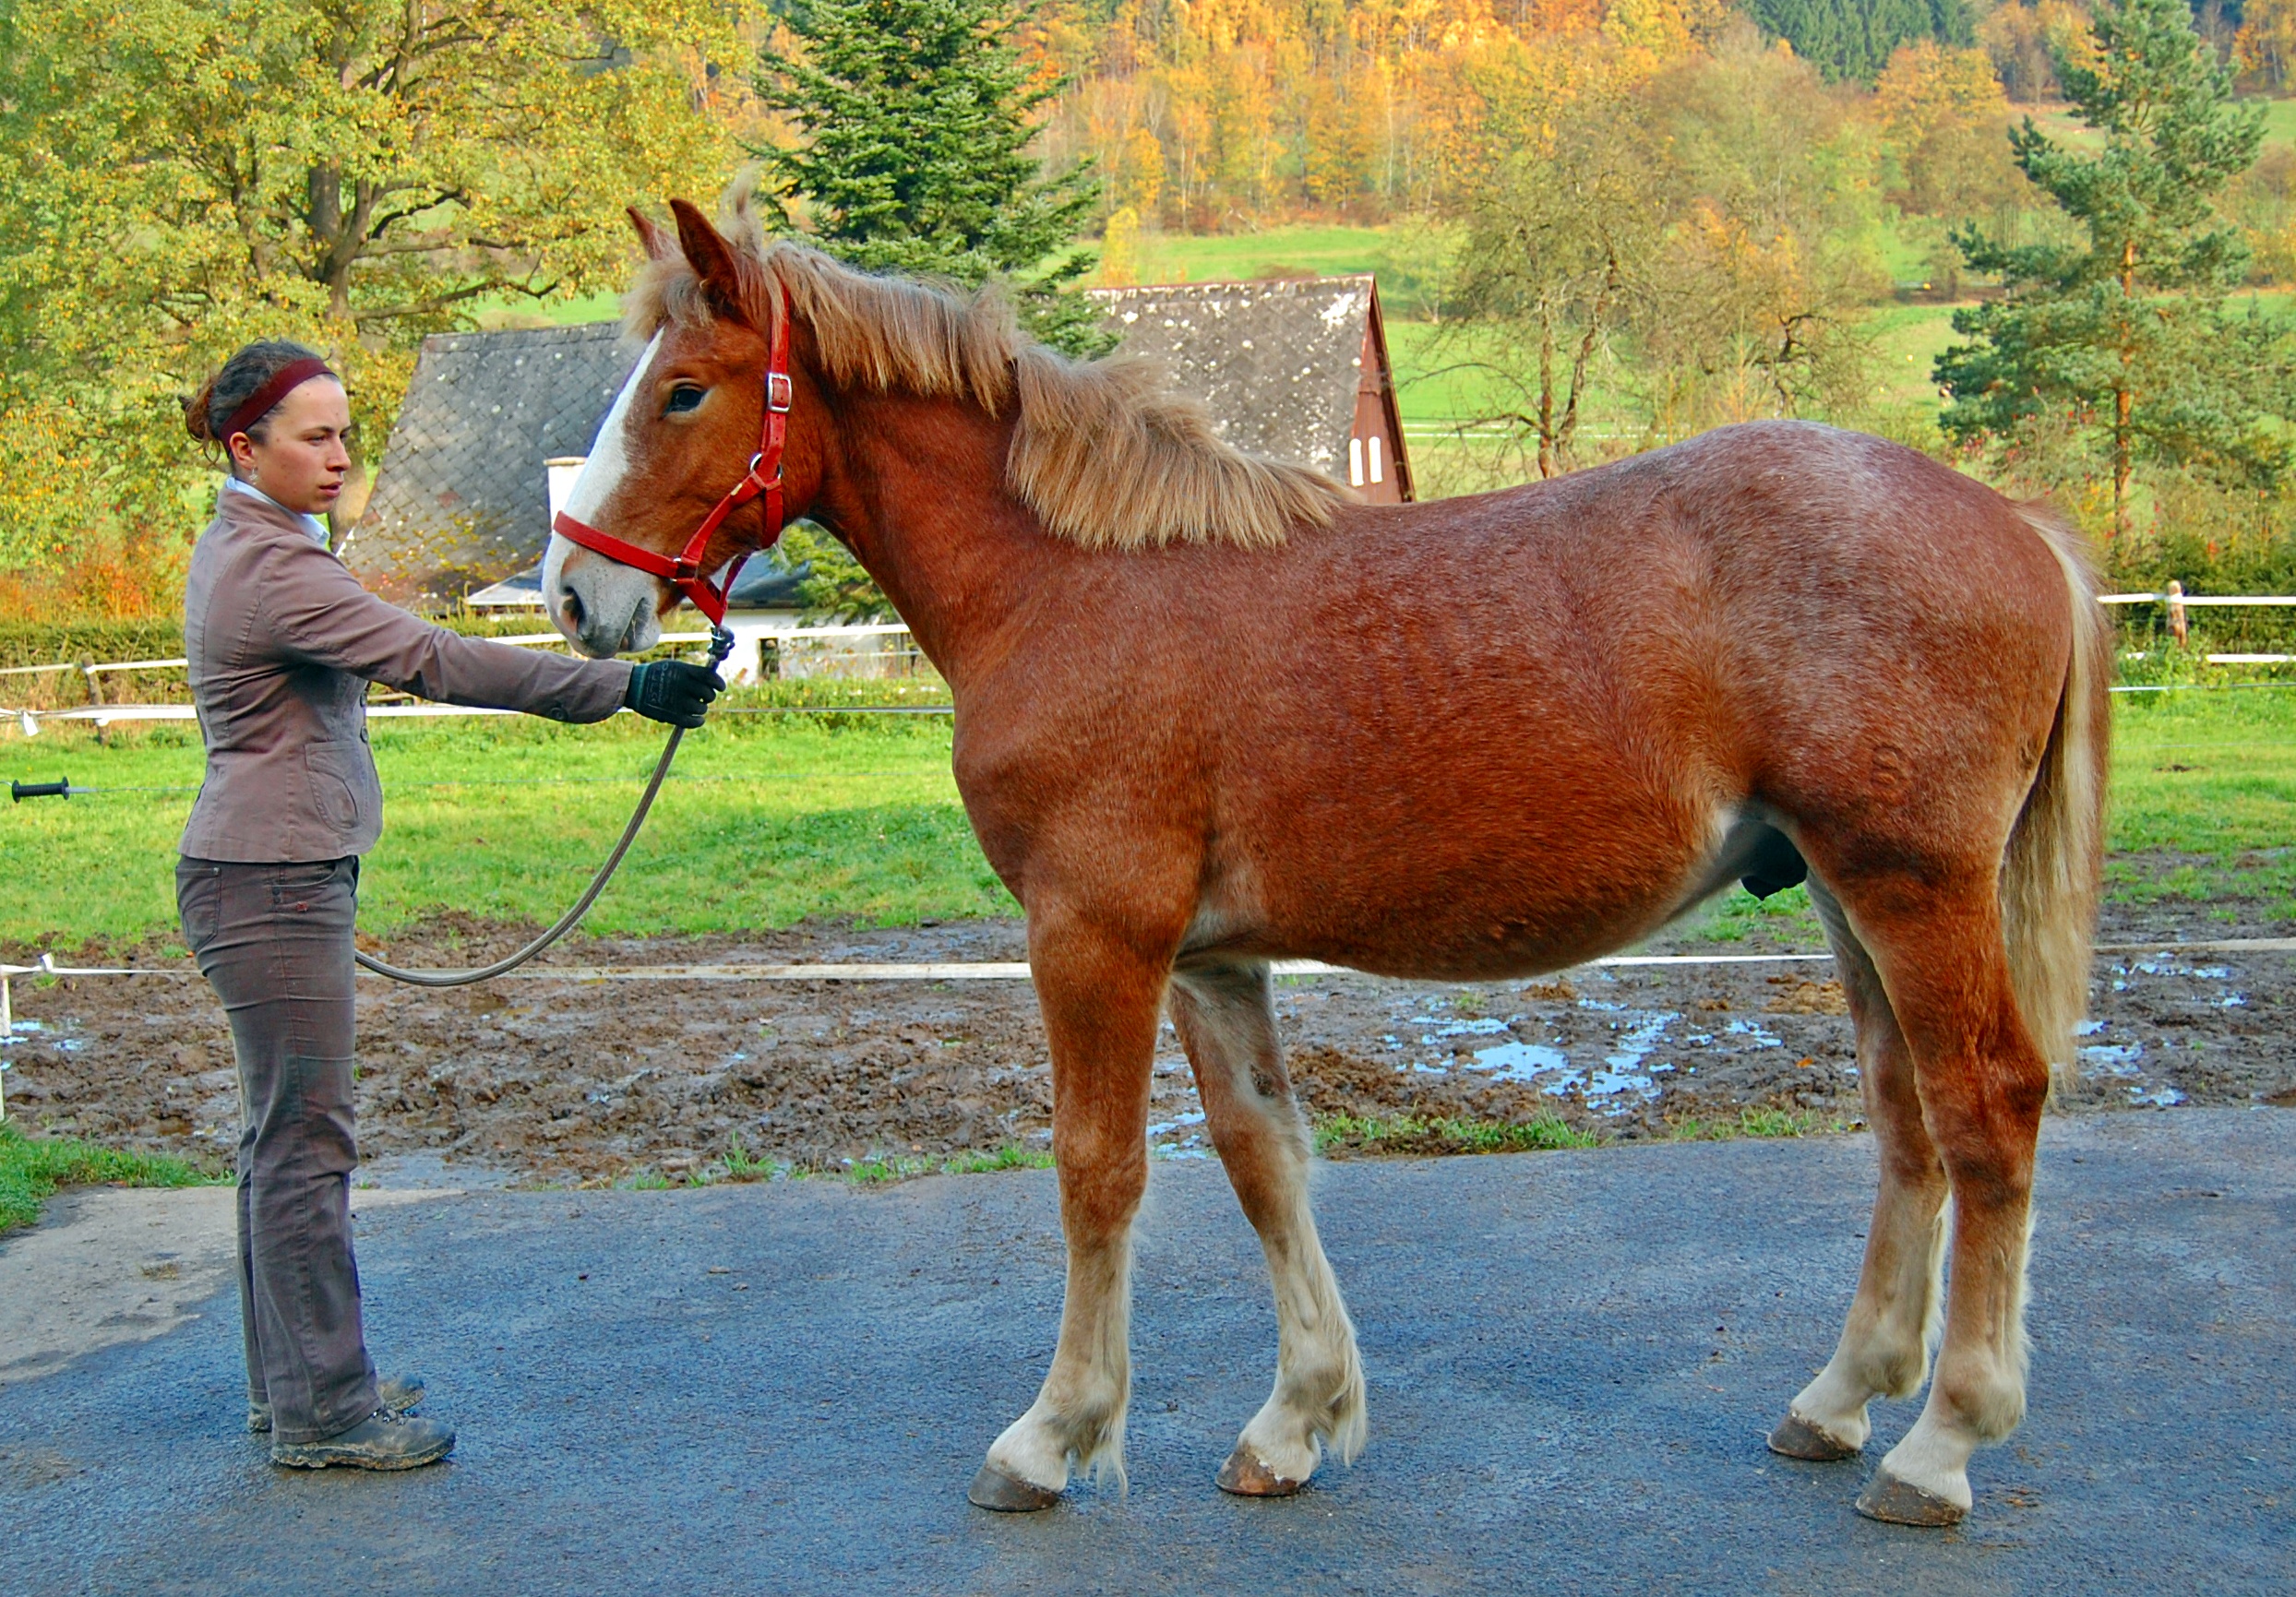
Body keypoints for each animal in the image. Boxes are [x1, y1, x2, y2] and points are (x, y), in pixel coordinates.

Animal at [537, 194, 2103, 1532]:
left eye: (685, 390)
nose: (574, 593)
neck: (1071, 583)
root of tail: (2019, 522)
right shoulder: (1210, 956)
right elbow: (1262, 1161)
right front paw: (1297, 1417)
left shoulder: (1094, 932)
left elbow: (1098, 1168)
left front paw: (1053, 1433)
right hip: (1849, 894)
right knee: (1906, 1120)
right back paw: (1840, 1401)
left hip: (1911, 885)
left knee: (1987, 1111)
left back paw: (1941, 1441)